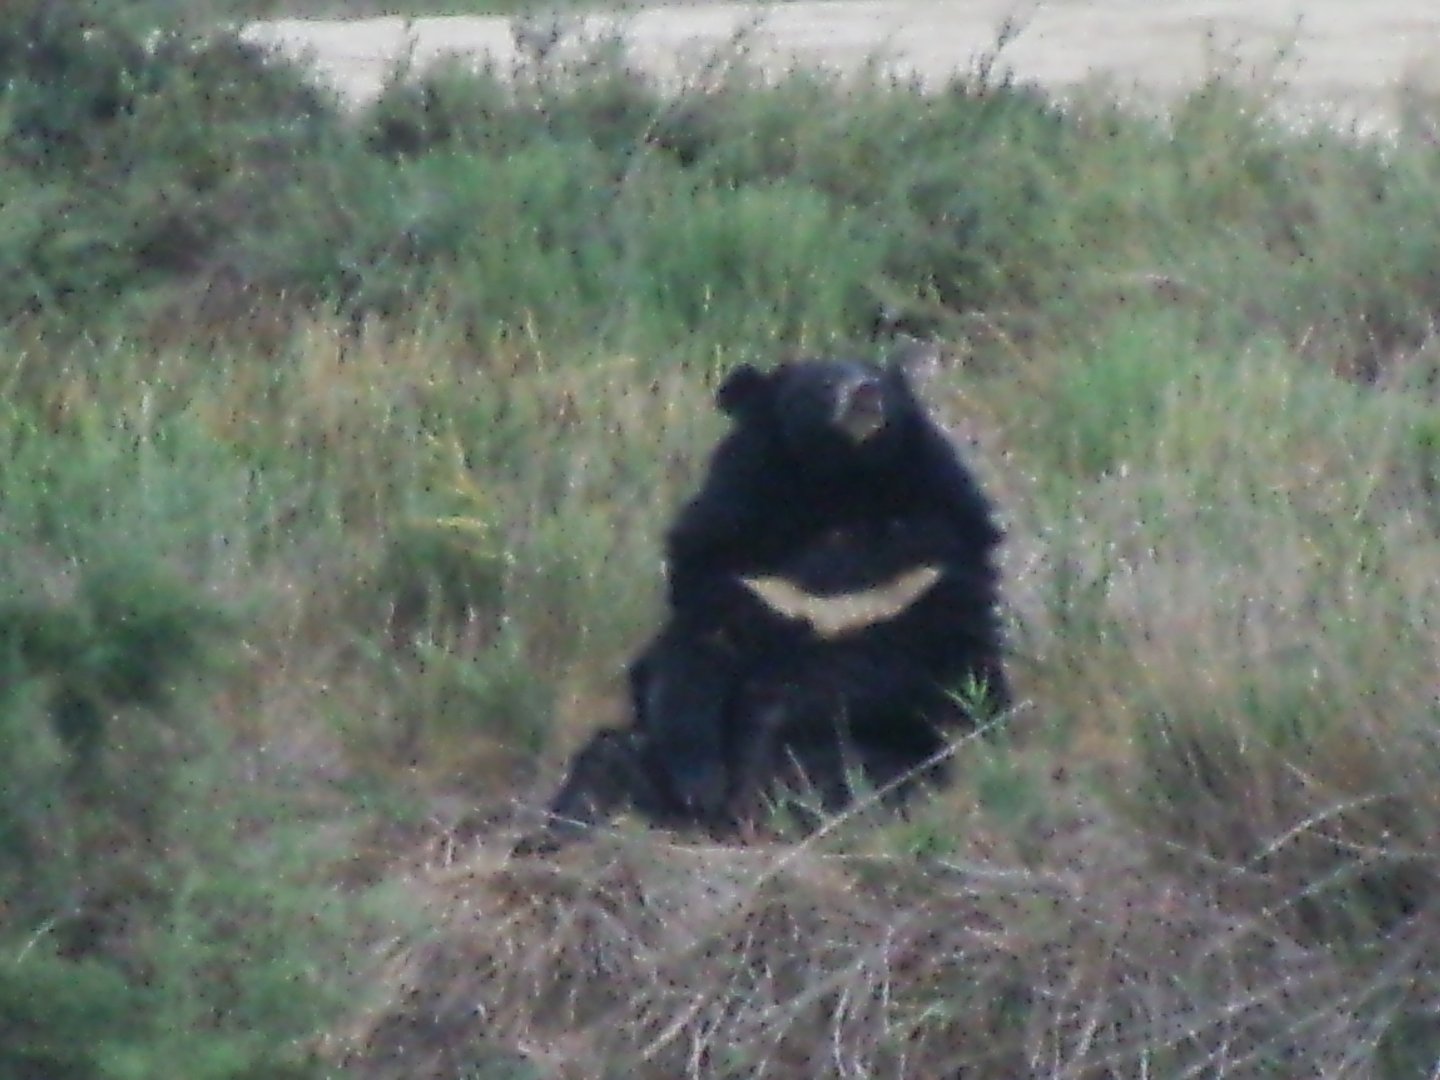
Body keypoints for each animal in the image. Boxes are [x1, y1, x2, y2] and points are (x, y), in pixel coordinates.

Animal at [517, 356, 1009, 852]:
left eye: (884, 382)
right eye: (823, 383)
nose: (866, 393)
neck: (839, 494)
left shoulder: (933, 571)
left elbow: (925, 672)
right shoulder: (733, 563)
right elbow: (690, 667)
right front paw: (700, 785)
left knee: (875, 772)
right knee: (609, 758)